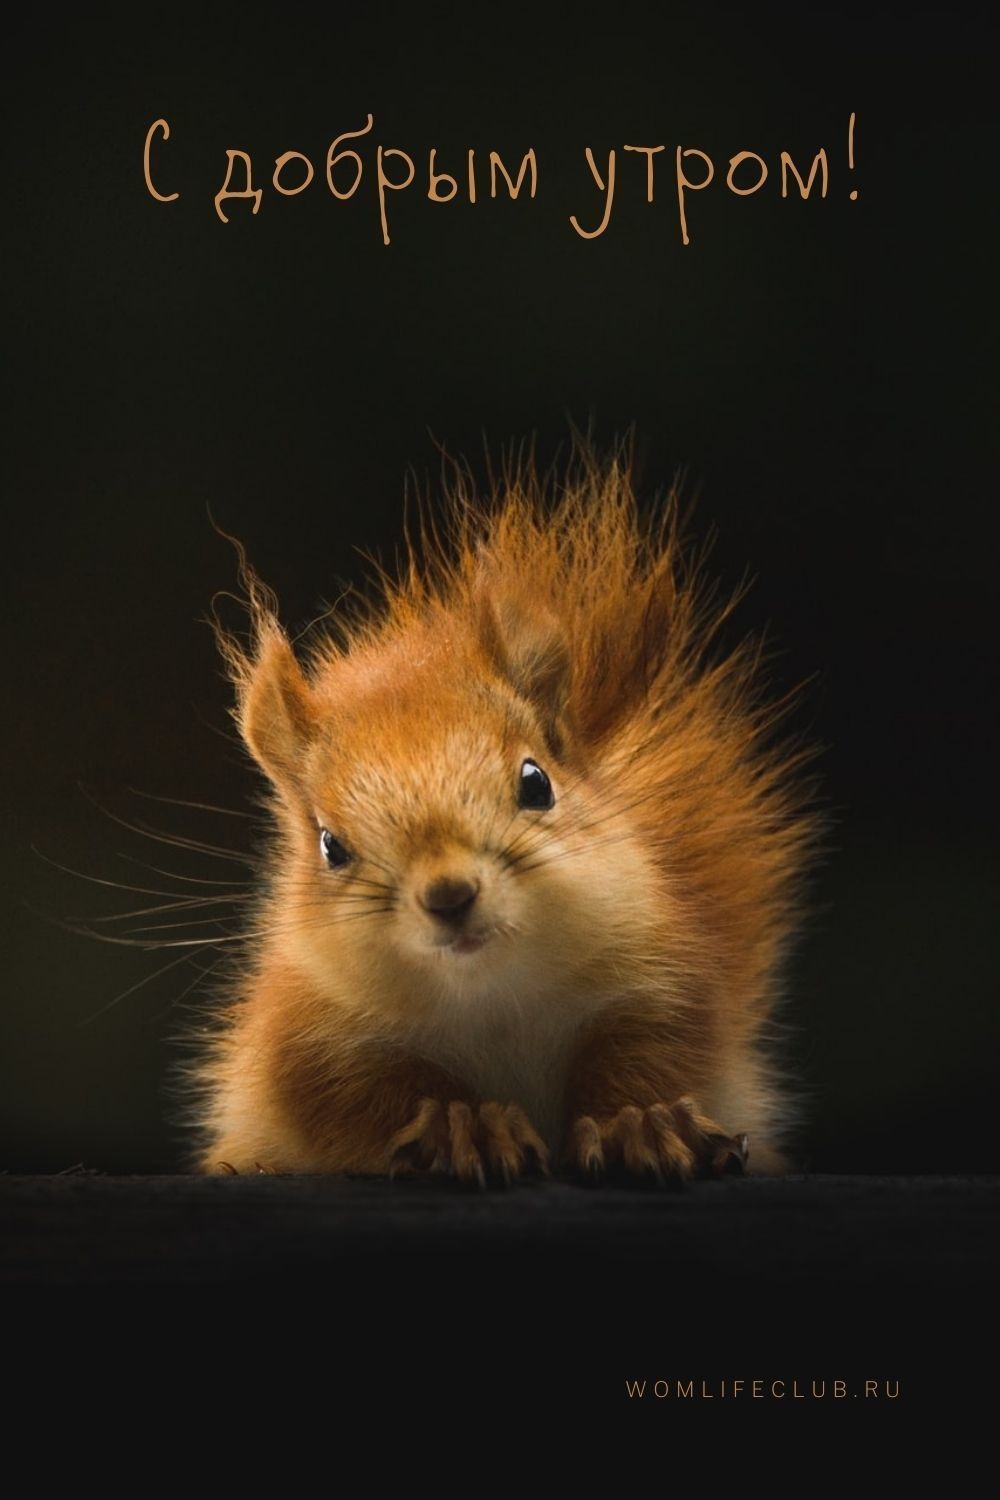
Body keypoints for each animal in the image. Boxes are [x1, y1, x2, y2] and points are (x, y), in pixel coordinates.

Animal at [189, 447, 821, 1182]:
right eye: (330, 846)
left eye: (537, 783)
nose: (449, 895)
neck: (492, 996)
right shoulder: (309, 1040)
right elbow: (364, 1097)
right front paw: (465, 1125)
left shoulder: (661, 978)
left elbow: (652, 1055)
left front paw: (641, 1122)